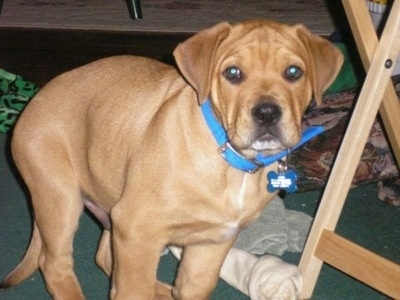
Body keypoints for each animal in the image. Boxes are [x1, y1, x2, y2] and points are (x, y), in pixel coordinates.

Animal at [1, 19, 342, 298]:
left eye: (294, 72)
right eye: (232, 73)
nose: (267, 113)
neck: (228, 158)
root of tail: (36, 99)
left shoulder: (211, 244)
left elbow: (189, 288)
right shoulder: (137, 230)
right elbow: (132, 290)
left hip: (108, 205)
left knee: (105, 258)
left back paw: (163, 290)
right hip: (60, 198)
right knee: (55, 265)